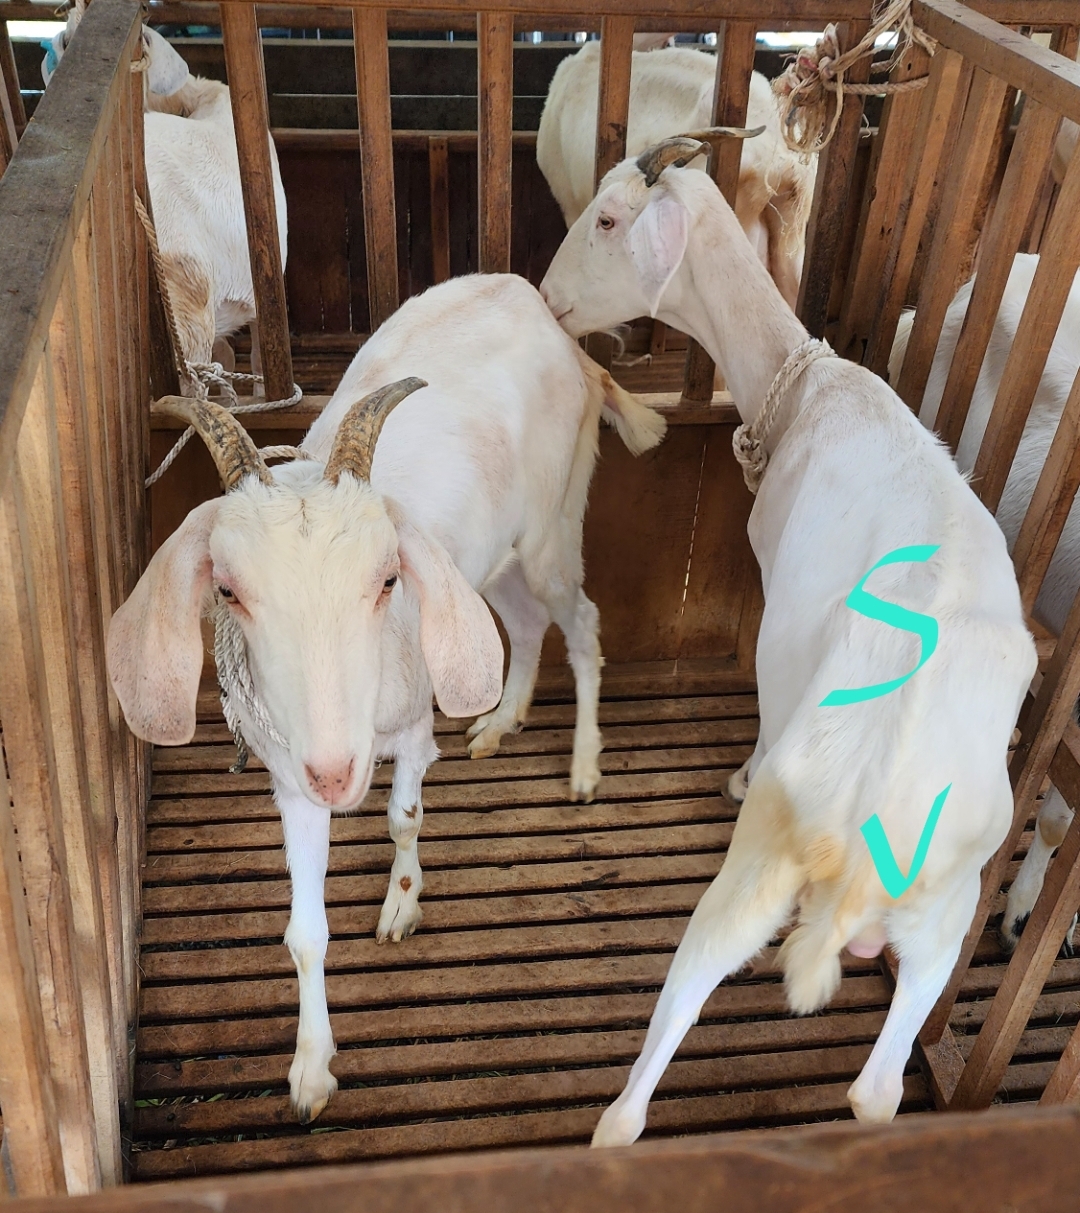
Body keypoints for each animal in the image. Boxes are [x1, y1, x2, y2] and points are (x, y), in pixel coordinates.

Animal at [106, 273, 666, 1124]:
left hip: (551, 526)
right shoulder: (291, 779)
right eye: (227, 589)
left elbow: (405, 814)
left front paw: (402, 904)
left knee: (580, 618)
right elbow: (303, 930)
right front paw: (310, 1071)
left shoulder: (409, 729)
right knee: (522, 623)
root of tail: (549, 320)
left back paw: (583, 766)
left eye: (387, 577)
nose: (339, 772)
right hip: (489, 563)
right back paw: (500, 721)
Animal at [540, 137, 1035, 1141]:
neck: (809, 388)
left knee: (658, 1052)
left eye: (607, 218)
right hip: (945, 917)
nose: (546, 294)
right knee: (878, 1090)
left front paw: (738, 770)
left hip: (761, 868)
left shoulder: (779, 612)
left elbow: (768, 694)